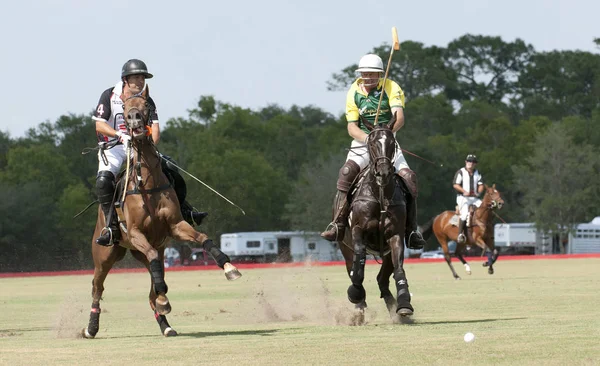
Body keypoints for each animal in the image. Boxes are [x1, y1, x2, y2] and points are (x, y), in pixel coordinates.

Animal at [82, 87, 241, 338]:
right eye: (125, 107)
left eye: (147, 105)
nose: (134, 120)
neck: (148, 182)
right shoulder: (136, 233)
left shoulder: (175, 226)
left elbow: (203, 238)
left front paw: (229, 267)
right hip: (105, 255)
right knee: (97, 287)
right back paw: (91, 327)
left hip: (146, 252)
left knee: (151, 291)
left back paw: (166, 325)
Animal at [340, 115, 414, 326]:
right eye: (372, 143)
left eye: (392, 143)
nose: (383, 172)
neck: (380, 194)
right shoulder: (358, 231)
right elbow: (358, 265)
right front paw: (355, 294)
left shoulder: (395, 235)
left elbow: (399, 268)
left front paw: (404, 304)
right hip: (343, 246)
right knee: (352, 267)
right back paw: (359, 309)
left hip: (386, 252)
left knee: (382, 278)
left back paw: (394, 307)